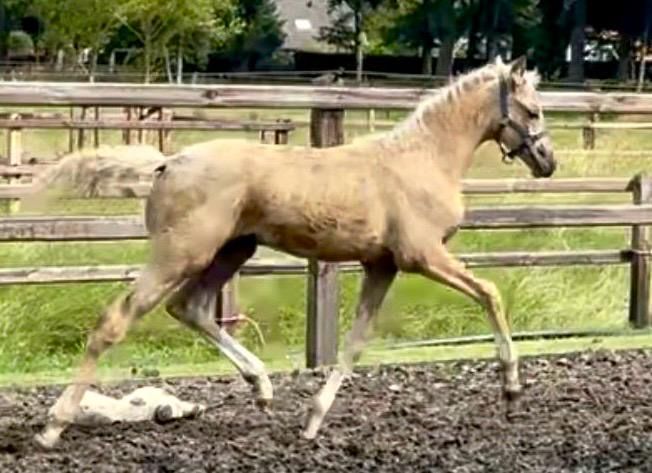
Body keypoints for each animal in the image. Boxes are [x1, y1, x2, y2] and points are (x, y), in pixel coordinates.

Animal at [33, 56, 555, 448]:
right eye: (532, 110)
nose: (548, 162)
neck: (423, 158)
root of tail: (169, 161)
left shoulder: (381, 265)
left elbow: (355, 343)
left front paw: (312, 421)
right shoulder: (421, 256)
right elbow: (489, 293)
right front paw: (511, 393)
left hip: (232, 251)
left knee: (191, 308)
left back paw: (263, 389)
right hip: (181, 253)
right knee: (115, 320)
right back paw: (53, 427)